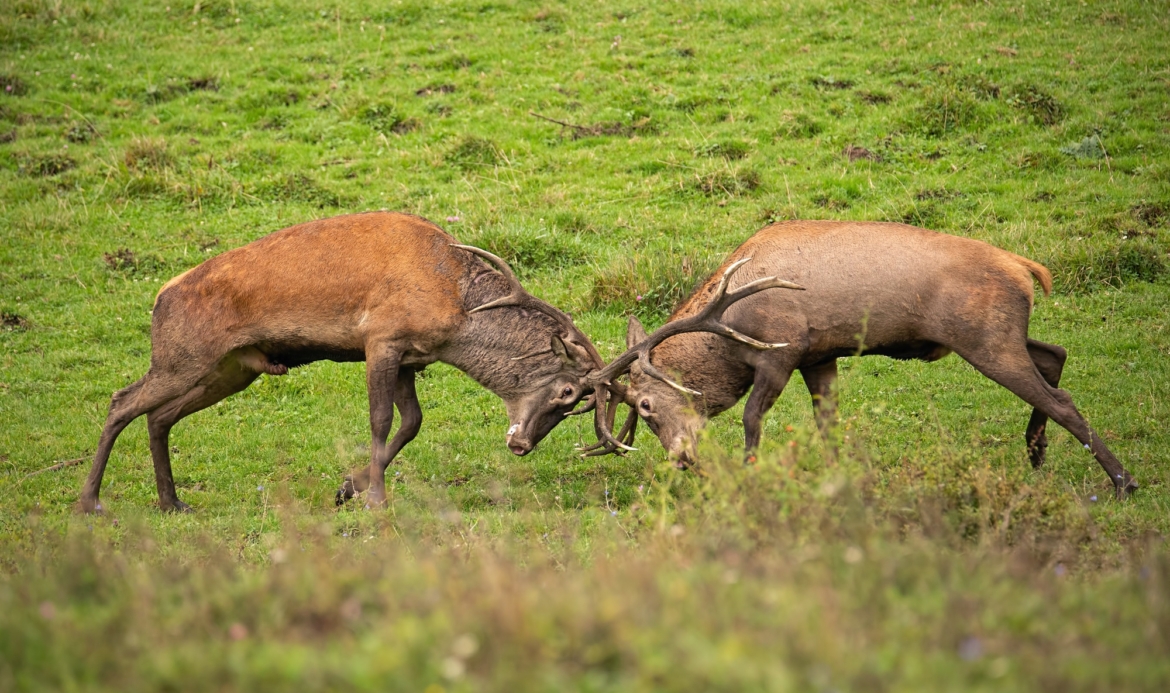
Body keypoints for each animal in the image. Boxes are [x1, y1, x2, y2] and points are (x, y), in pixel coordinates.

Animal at [79, 211, 604, 513]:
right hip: (182, 358)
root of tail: (160, 297)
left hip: (230, 370)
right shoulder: (381, 340)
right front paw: (374, 498)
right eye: (568, 393)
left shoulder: (410, 356)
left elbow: (412, 421)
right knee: (121, 401)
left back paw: (172, 502)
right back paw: (89, 503)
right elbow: (381, 419)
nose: (523, 446)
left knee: (159, 416)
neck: (455, 305)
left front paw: (348, 487)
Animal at [585, 220, 1139, 498]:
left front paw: (748, 475)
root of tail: (1028, 268)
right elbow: (828, 423)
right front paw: (840, 479)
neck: (731, 332)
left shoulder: (782, 350)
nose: (682, 459)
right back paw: (1036, 449)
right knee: (1055, 355)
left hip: (984, 338)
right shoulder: (818, 356)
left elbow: (751, 419)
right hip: (1000, 335)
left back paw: (1123, 481)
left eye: (646, 407)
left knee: (1062, 397)